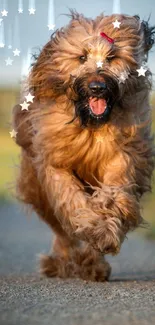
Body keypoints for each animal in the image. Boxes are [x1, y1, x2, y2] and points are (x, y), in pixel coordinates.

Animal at [12, 12, 155, 280]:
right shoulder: (54, 162)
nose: (97, 87)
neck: (91, 124)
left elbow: (114, 193)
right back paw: (64, 262)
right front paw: (93, 226)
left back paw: (92, 263)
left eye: (111, 57)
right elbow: (71, 199)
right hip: (37, 189)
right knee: (62, 230)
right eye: (81, 57)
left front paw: (105, 231)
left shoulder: (123, 154)